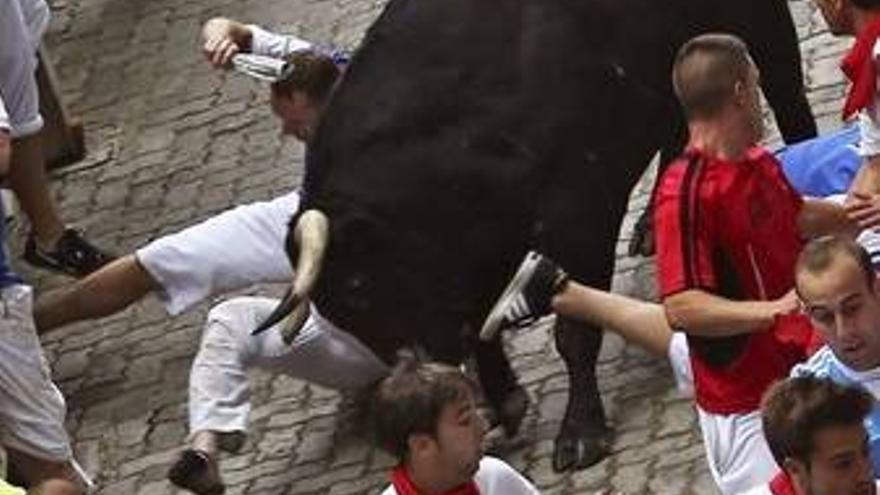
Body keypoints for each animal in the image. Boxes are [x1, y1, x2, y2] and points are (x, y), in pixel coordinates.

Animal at [286, 0, 816, 472]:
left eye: (358, 285)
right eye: (338, 313)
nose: (413, 370)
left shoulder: (577, 213)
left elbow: (573, 332)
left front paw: (580, 432)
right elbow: (482, 329)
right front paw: (504, 402)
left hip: (761, 29)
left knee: (788, 95)